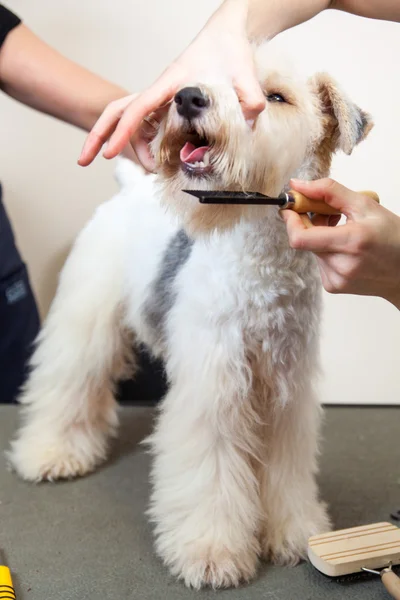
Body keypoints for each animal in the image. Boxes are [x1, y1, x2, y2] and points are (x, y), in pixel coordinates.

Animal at [8, 44, 372, 588]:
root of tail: (128, 188)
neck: (261, 261)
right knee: (67, 386)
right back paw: (50, 454)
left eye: (276, 97)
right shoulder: (215, 389)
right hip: (84, 324)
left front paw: (293, 532)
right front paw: (212, 552)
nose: (188, 97)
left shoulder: (285, 392)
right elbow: (212, 476)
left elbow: (285, 474)